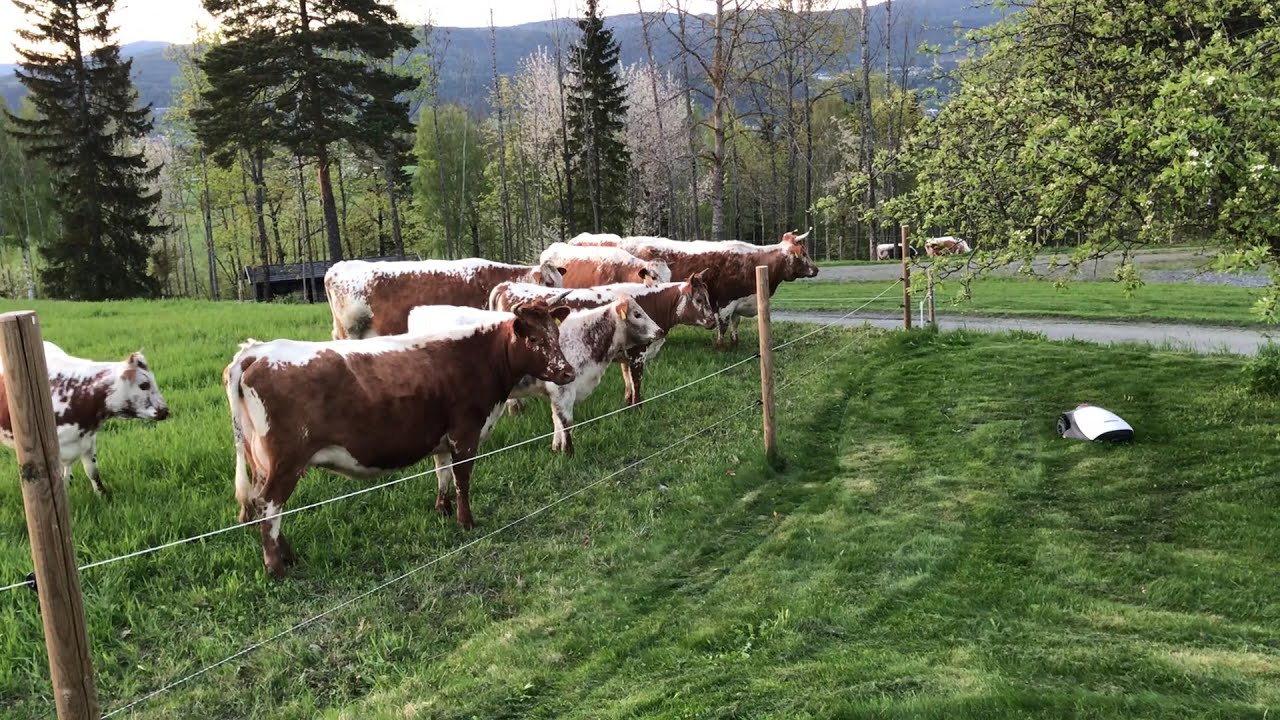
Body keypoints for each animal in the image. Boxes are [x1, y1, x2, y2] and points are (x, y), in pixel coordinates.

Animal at [224, 301, 575, 577]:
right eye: (533, 338)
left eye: (556, 335)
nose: (568, 372)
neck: (480, 356)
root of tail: (256, 351)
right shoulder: (465, 433)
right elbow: (462, 479)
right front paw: (467, 522)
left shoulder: (441, 436)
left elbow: (442, 472)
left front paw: (442, 509)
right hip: (287, 460)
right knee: (270, 506)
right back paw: (276, 568)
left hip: (263, 461)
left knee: (262, 502)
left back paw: (288, 555)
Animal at [409, 296, 662, 455]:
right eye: (637, 314)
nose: (659, 330)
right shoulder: (564, 390)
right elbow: (566, 422)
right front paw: (569, 452)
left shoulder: (558, 390)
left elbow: (556, 420)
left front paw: (556, 448)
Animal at [490, 272, 717, 406]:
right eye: (699, 299)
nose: (713, 321)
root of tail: (506, 285)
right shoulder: (638, 353)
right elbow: (637, 382)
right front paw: (637, 408)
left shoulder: (626, 355)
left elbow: (628, 381)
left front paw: (627, 403)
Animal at [571, 230, 819, 348]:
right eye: (803, 252)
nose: (816, 269)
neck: (754, 262)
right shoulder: (725, 302)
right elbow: (723, 326)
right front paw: (721, 347)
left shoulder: (738, 302)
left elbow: (735, 324)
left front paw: (735, 342)